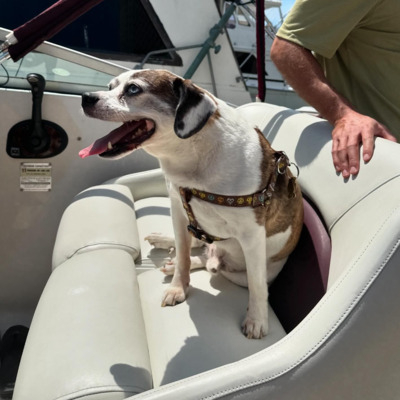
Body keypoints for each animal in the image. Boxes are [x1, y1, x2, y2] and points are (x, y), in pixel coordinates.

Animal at [79, 69, 302, 338]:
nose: (86, 97)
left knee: (220, 267)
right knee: (199, 249)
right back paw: (168, 245)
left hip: (243, 270)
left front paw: (257, 320)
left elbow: (257, 286)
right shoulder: (177, 207)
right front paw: (178, 286)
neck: (193, 153)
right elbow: (184, 254)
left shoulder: (252, 235)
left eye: (133, 89)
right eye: (110, 86)